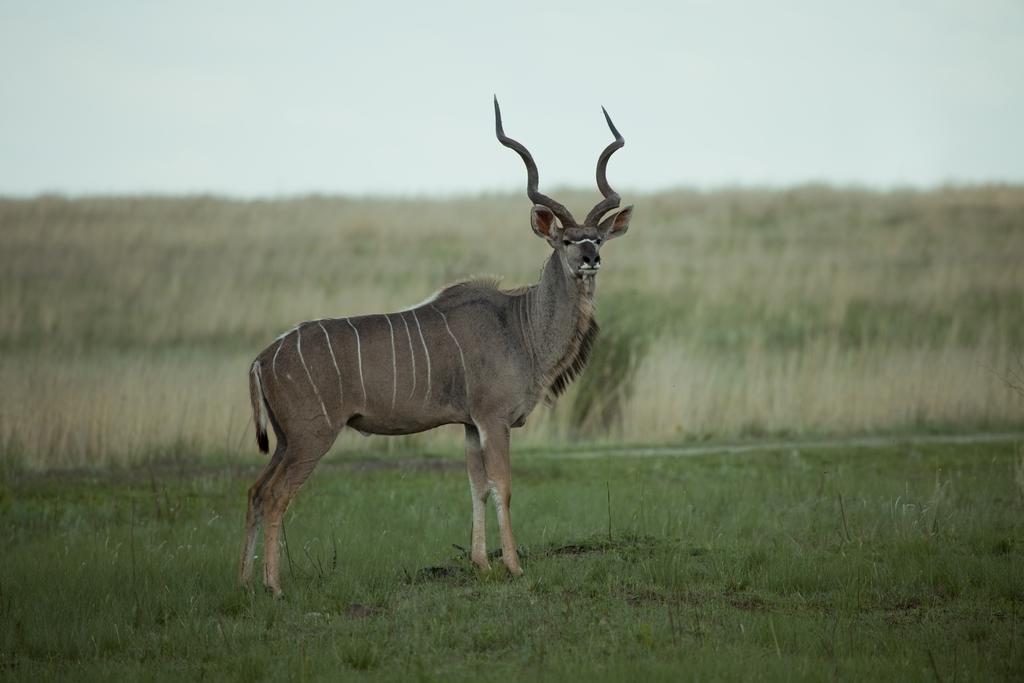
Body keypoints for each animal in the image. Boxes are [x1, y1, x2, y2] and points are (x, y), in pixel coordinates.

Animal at [241, 98, 630, 593]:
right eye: (565, 240)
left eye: (597, 238)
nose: (590, 258)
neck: (520, 325)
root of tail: (262, 359)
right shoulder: (493, 419)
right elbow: (502, 486)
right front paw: (513, 566)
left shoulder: (469, 425)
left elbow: (476, 486)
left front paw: (481, 563)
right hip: (311, 437)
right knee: (275, 496)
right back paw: (273, 586)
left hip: (285, 440)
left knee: (255, 491)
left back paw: (245, 582)